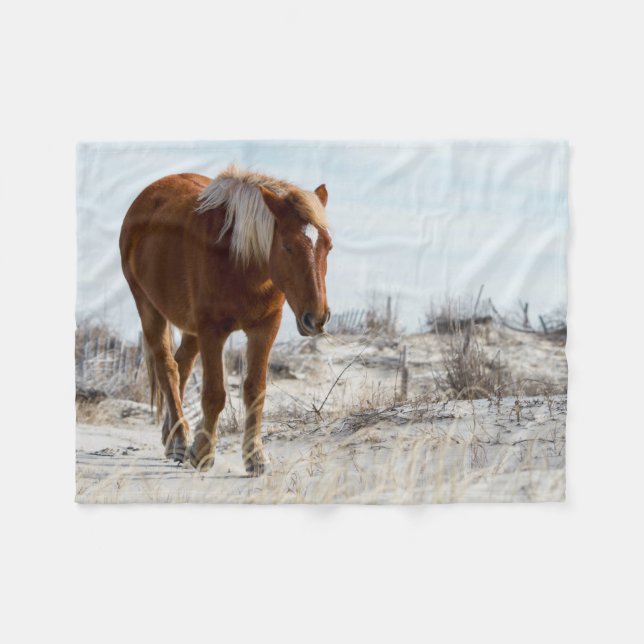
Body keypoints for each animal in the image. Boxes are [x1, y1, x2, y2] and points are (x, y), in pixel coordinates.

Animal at [119, 165, 332, 473]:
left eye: (328, 246)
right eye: (288, 246)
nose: (317, 318)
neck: (239, 260)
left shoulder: (265, 328)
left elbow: (255, 391)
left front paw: (255, 457)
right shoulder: (212, 331)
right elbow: (214, 394)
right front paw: (202, 453)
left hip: (190, 327)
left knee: (181, 365)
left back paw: (171, 438)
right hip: (149, 309)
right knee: (167, 367)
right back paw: (181, 440)